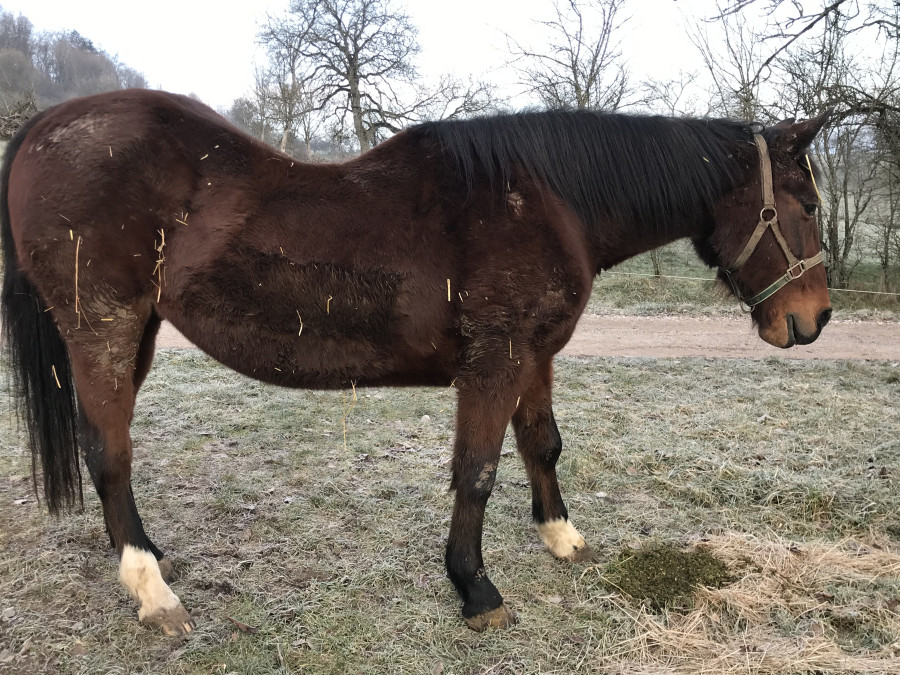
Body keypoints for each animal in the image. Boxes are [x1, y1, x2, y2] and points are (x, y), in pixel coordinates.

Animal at [1, 89, 831, 635]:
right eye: (808, 204)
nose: (814, 318)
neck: (550, 199)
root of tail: (45, 126)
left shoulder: (535, 356)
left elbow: (542, 443)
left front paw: (561, 536)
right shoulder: (494, 365)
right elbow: (478, 470)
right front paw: (475, 588)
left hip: (135, 333)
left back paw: (147, 554)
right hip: (103, 329)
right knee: (109, 452)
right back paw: (150, 588)